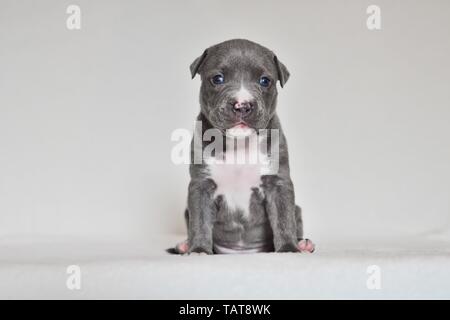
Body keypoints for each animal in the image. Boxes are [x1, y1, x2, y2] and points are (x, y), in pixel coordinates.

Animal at [171, 39, 314, 255]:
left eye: (265, 81)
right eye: (217, 79)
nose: (242, 105)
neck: (239, 144)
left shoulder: (278, 184)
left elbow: (284, 219)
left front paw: (289, 248)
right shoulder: (201, 186)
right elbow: (200, 221)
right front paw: (199, 249)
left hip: (297, 209)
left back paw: (303, 244)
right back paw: (185, 245)